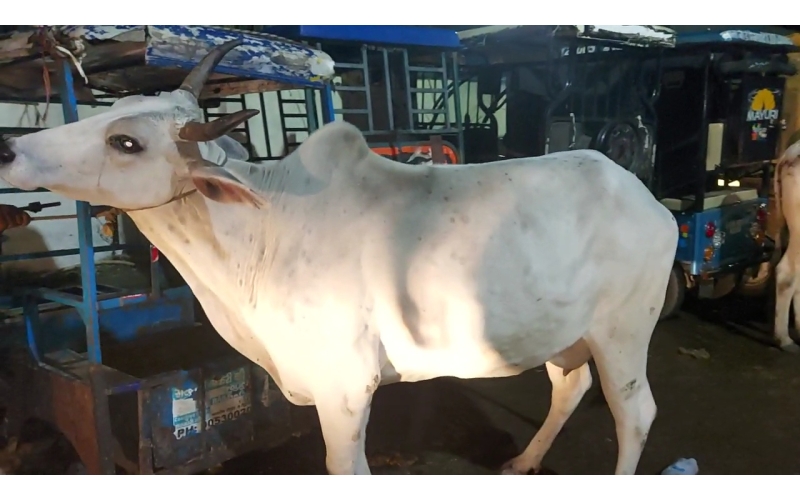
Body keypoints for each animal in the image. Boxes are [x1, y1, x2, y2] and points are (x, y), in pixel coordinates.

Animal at [0, 40, 679, 475]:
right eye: (114, 112)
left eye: (126, 142)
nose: (10, 150)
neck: (263, 231)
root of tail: (649, 199)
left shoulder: (347, 388)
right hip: (564, 333)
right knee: (571, 387)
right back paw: (522, 462)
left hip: (623, 332)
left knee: (636, 412)